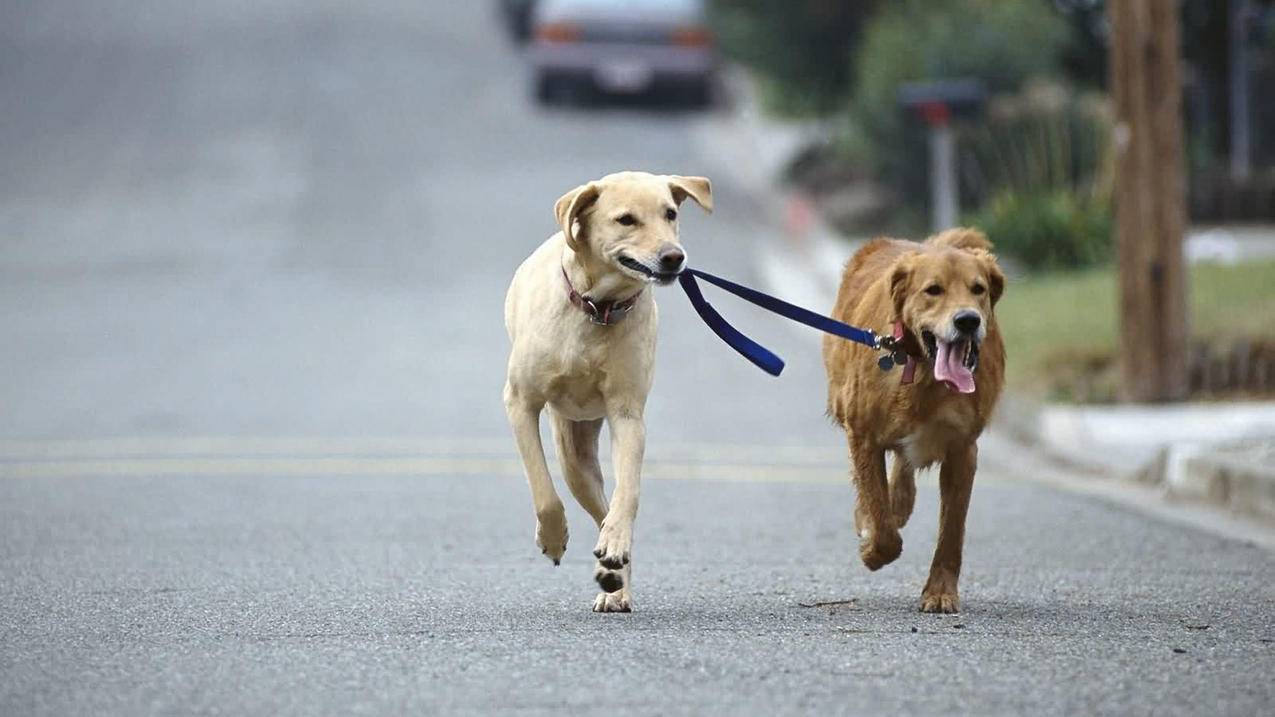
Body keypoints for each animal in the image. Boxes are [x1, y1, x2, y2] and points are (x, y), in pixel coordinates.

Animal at [502, 169, 714, 612]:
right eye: (626, 220)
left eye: (670, 213)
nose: (674, 257)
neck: (597, 310)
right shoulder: (520, 402)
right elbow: (542, 489)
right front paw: (553, 538)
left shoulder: (627, 414)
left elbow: (627, 493)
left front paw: (615, 548)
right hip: (573, 455)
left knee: (608, 510)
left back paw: (614, 575)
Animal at [826, 225, 1004, 612]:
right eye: (933, 290)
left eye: (978, 289)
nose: (968, 320)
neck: (924, 372)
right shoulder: (862, 434)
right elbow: (880, 518)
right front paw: (873, 548)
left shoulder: (963, 450)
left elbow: (952, 531)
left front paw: (940, 591)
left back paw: (901, 502)